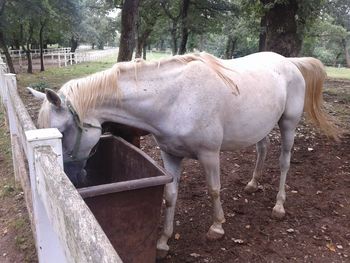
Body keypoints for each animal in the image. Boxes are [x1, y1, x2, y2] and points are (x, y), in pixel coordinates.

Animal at [31, 51, 338, 258]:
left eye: (62, 131)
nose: (71, 177)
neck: (174, 99)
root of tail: (289, 62)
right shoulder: (170, 156)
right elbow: (170, 196)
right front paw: (163, 241)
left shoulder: (209, 155)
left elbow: (214, 189)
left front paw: (217, 227)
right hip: (261, 126)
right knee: (262, 149)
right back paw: (252, 184)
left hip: (288, 125)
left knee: (284, 162)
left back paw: (279, 206)